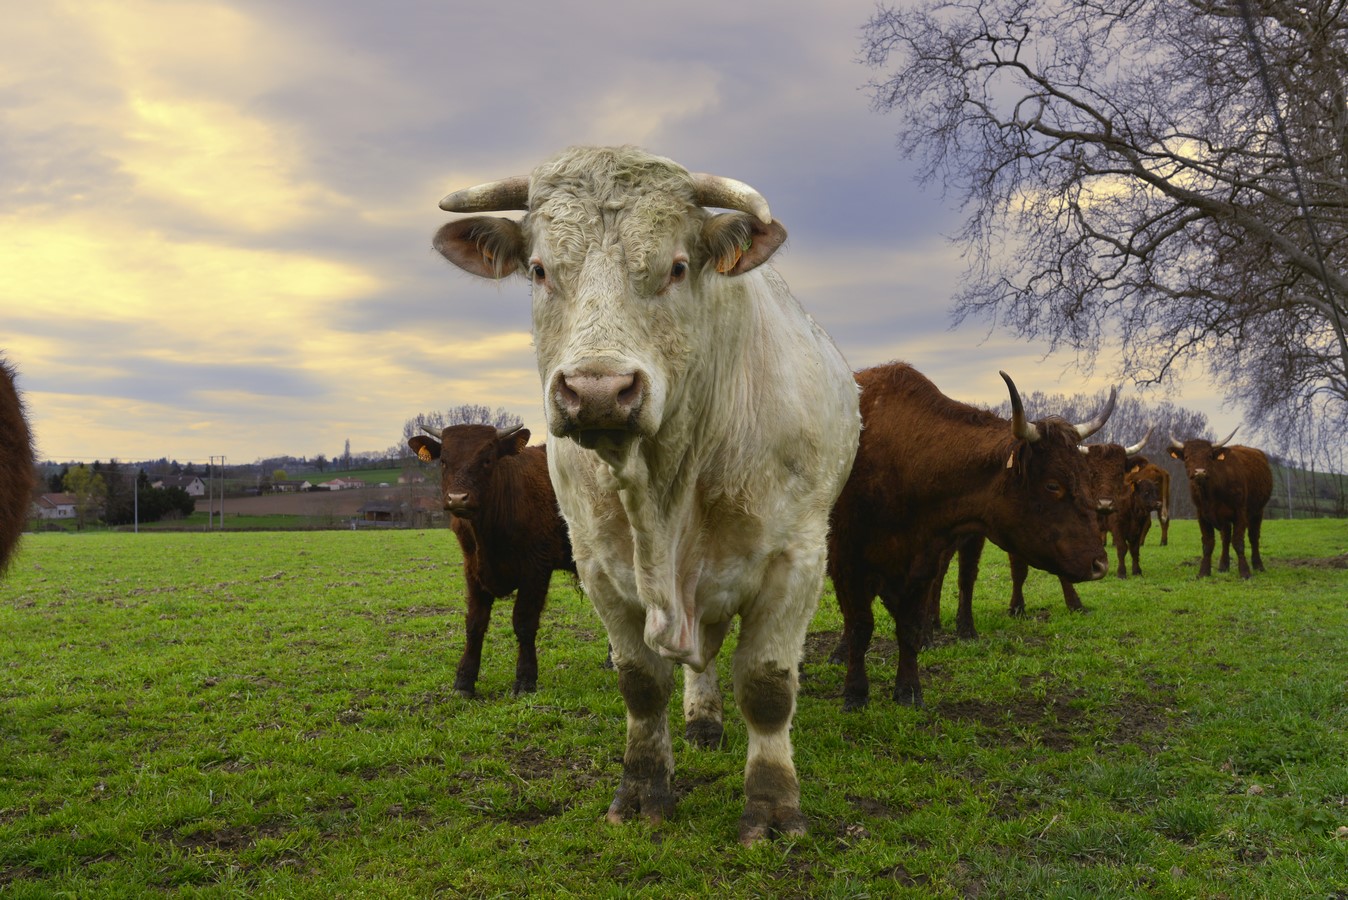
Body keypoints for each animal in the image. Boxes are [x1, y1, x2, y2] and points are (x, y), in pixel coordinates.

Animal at [408, 424, 576, 698]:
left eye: (487, 460)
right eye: (443, 461)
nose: (457, 498)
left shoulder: (536, 569)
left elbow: (524, 623)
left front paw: (526, 680)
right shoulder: (472, 569)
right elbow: (475, 624)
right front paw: (464, 681)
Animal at [432, 146, 861, 844]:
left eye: (678, 267)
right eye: (540, 269)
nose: (598, 389)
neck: (664, 488)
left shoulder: (797, 558)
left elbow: (767, 686)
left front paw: (773, 808)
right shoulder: (600, 566)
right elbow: (639, 682)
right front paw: (642, 792)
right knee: (700, 654)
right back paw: (702, 718)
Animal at [827, 362, 1112, 710]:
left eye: (1086, 478)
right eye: (1052, 485)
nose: (1100, 564)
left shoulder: (922, 564)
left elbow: (908, 626)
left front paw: (909, 690)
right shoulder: (847, 560)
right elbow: (860, 626)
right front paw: (855, 692)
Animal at [1168, 429, 1272, 578]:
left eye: (1210, 456)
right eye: (1187, 456)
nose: (1200, 472)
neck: (1211, 493)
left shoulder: (1240, 512)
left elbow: (1238, 542)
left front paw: (1245, 572)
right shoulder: (1202, 514)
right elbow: (1208, 543)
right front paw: (1203, 572)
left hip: (1258, 511)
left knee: (1253, 537)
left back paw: (1258, 565)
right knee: (1226, 538)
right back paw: (1223, 566)